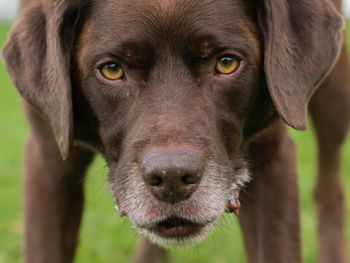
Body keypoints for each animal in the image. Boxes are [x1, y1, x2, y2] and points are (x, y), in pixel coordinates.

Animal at [2, 0, 350, 262]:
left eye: (226, 63)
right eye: (112, 70)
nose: (172, 178)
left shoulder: (272, 155)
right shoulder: (49, 153)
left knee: (329, 190)